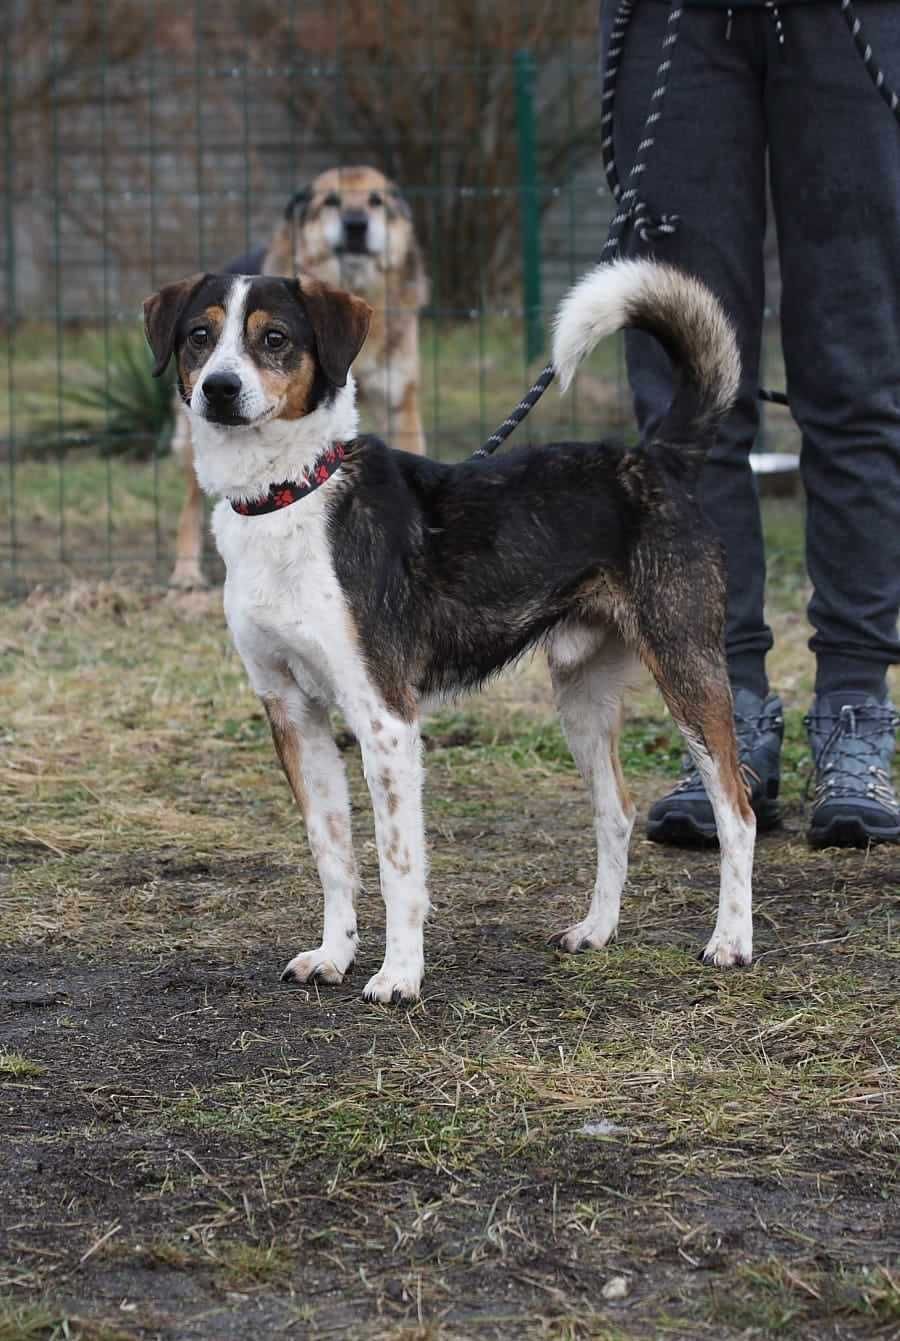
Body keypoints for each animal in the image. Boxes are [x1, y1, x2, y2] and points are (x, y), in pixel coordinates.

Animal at [144, 256, 756, 1003]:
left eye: (275, 339)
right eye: (199, 337)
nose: (220, 389)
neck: (290, 495)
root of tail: (658, 457)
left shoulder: (385, 718)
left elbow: (398, 865)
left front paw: (399, 974)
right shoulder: (291, 710)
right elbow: (331, 853)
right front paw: (333, 954)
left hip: (686, 666)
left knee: (737, 810)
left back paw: (731, 940)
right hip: (581, 693)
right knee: (616, 810)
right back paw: (596, 930)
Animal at [169, 166, 429, 587]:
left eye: (376, 200)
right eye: (331, 201)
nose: (356, 224)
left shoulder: (399, 400)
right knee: (191, 501)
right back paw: (186, 570)